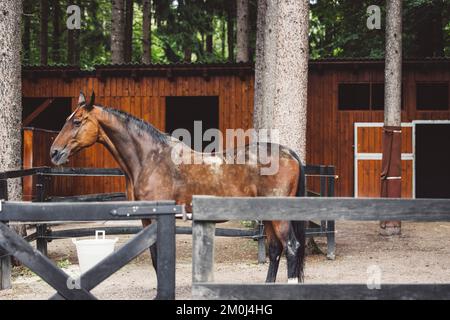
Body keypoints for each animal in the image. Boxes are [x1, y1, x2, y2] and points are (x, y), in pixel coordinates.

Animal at [51, 92, 308, 282]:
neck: (150, 159)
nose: (54, 152)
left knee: (291, 247)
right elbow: (154, 258)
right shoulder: (145, 219)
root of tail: (289, 153)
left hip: (279, 216)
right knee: (275, 250)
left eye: (77, 121)